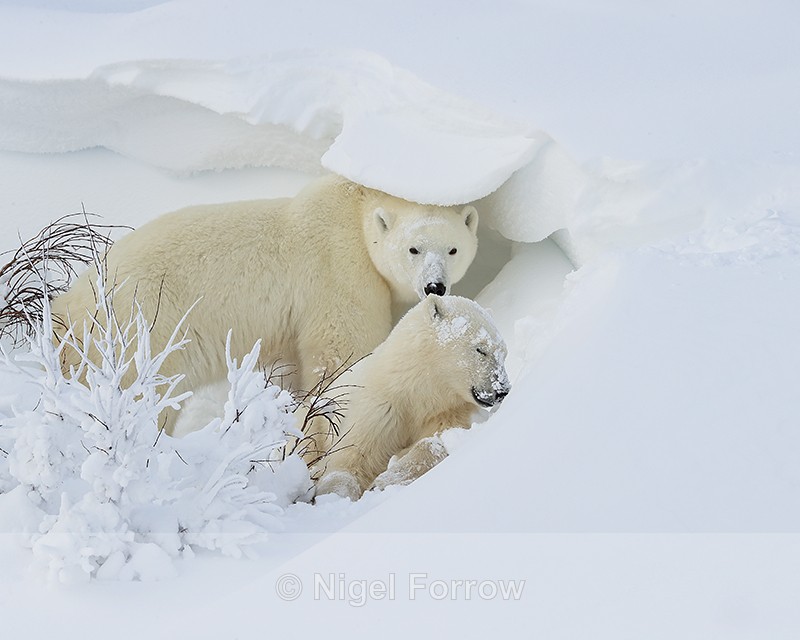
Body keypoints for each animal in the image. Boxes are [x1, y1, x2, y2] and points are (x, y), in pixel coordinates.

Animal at [50, 174, 480, 434]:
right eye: (413, 249)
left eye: (453, 249)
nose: (435, 285)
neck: (355, 210)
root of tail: (66, 309)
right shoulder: (339, 270)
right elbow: (341, 351)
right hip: (141, 333)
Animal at [313, 295, 510, 501]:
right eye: (480, 349)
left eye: (504, 353)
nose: (503, 390)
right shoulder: (380, 410)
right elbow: (348, 461)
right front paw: (335, 497)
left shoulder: (446, 411)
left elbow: (436, 441)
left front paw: (382, 482)